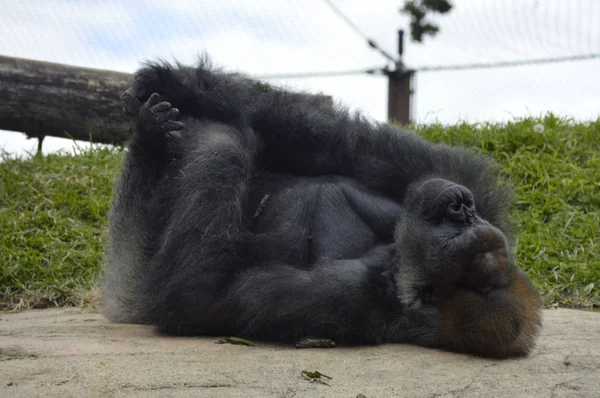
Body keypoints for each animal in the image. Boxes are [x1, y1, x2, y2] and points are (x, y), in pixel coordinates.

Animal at [101, 58, 540, 358]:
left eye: (462, 234)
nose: (461, 207)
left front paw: (221, 146)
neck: (396, 265)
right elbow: (340, 145)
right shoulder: (463, 184)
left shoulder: (348, 296)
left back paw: (161, 140)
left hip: (131, 282)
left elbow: (195, 295)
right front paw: (173, 81)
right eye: (467, 221)